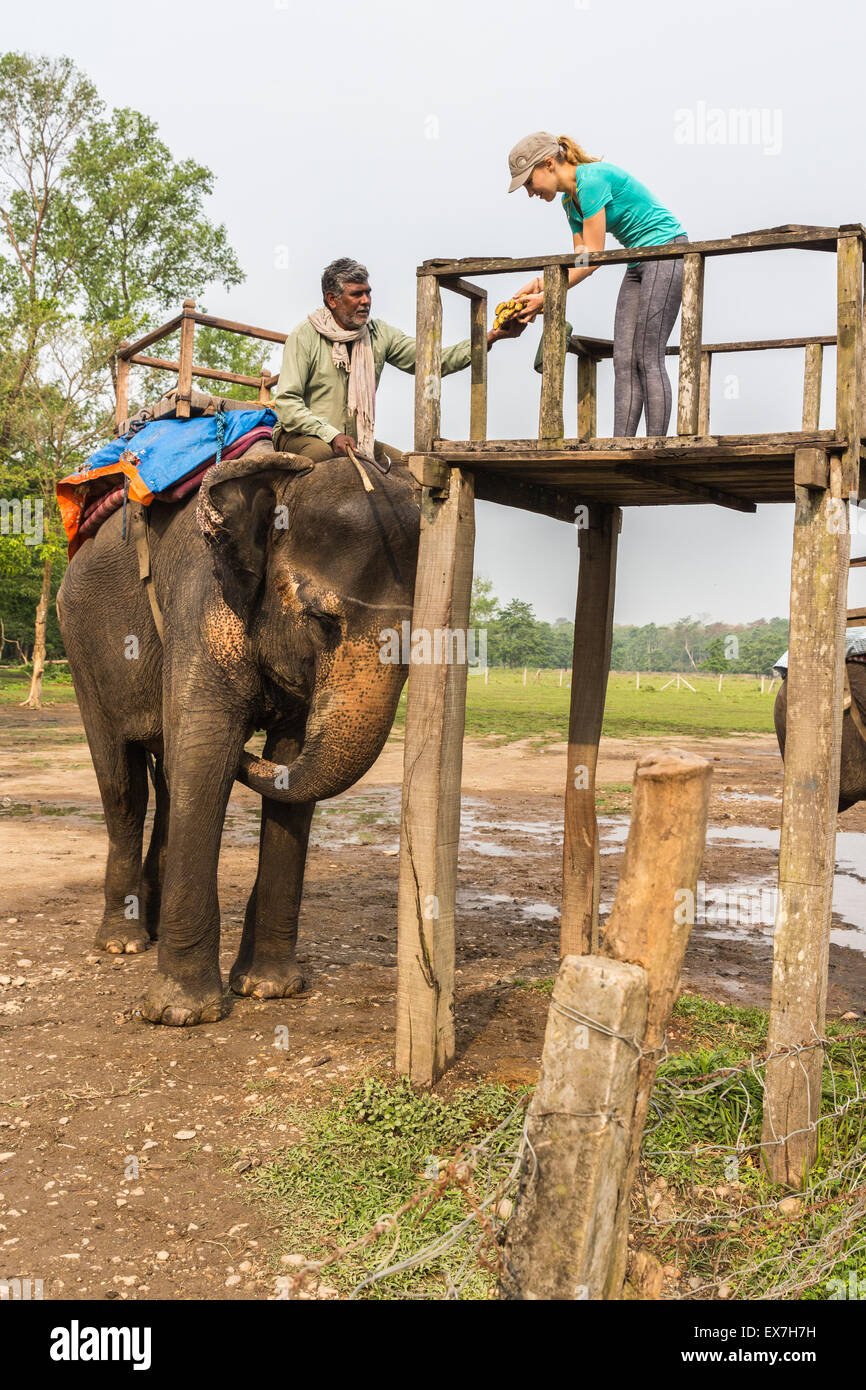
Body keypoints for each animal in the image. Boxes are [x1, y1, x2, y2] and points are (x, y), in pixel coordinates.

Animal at [56, 444, 420, 1025]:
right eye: (322, 622)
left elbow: (289, 765)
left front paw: (269, 989)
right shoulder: (201, 597)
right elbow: (206, 751)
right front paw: (182, 1014)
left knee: (165, 784)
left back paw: (150, 929)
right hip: (81, 649)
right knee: (125, 785)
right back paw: (123, 943)